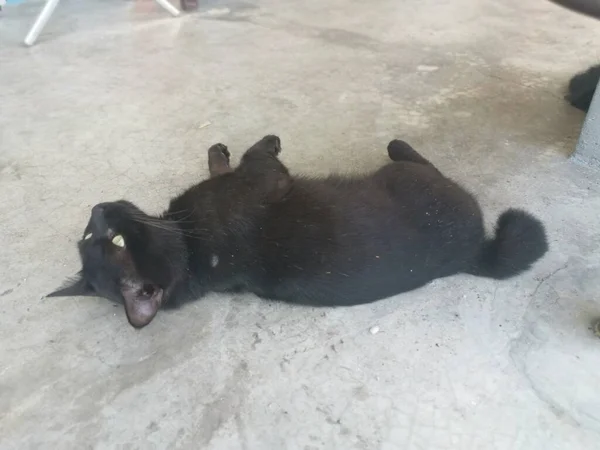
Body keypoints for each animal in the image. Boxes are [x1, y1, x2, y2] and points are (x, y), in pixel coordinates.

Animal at [50, 135, 548, 328]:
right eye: (111, 240)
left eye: (92, 236)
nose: (98, 208)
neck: (190, 252)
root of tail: (474, 255)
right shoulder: (265, 180)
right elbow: (256, 157)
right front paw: (265, 141)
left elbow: (223, 164)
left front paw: (217, 150)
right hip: (414, 180)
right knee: (419, 160)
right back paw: (399, 143)